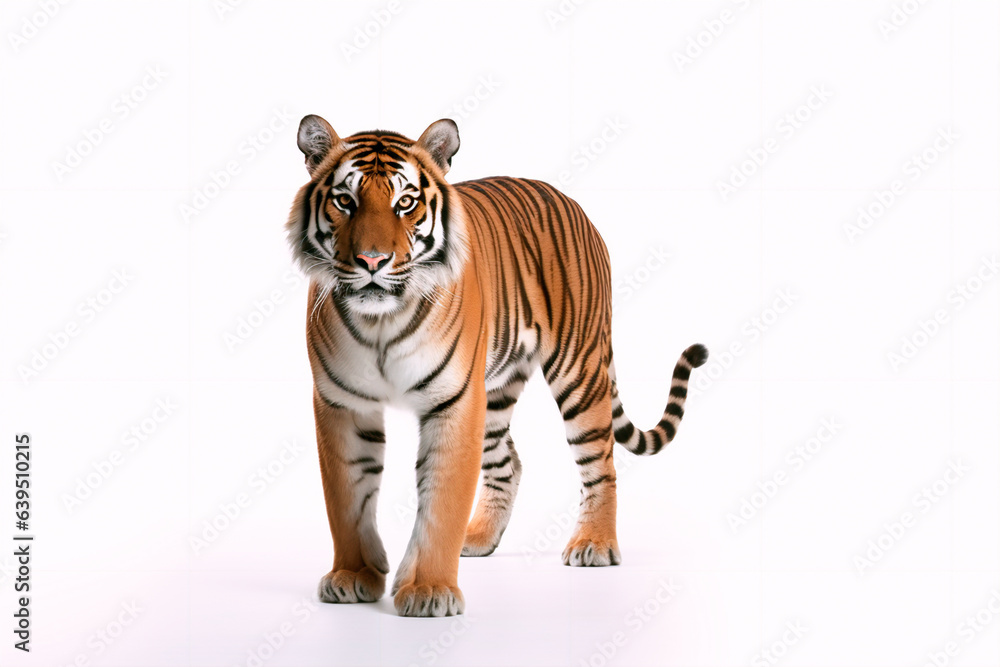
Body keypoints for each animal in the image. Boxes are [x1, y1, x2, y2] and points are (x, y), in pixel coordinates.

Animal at [286, 114, 708, 617]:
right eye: (344, 201)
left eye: (405, 202)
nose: (373, 261)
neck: (382, 320)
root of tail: (567, 199)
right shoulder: (342, 404)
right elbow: (346, 500)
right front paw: (353, 576)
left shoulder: (454, 402)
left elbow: (443, 498)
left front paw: (429, 589)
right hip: (495, 391)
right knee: (510, 463)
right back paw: (480, 538)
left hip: (578, 369)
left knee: (600, 460)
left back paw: (595, 543)